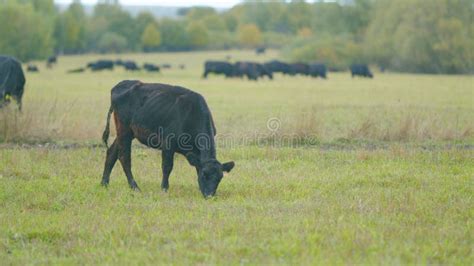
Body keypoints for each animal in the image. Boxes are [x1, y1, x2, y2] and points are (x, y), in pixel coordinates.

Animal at [102, 80, 235, 196]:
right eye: (204, 175)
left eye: (219, 178)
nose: (209, 195)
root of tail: (121, 84)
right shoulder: (168, 143)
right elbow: (167, 167)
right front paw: (164, 188)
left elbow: (196, 165)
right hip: (124, 129)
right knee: (124, 157)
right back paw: (135, 187)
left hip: (127, 133)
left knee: (112, 152)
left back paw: (104, 183)